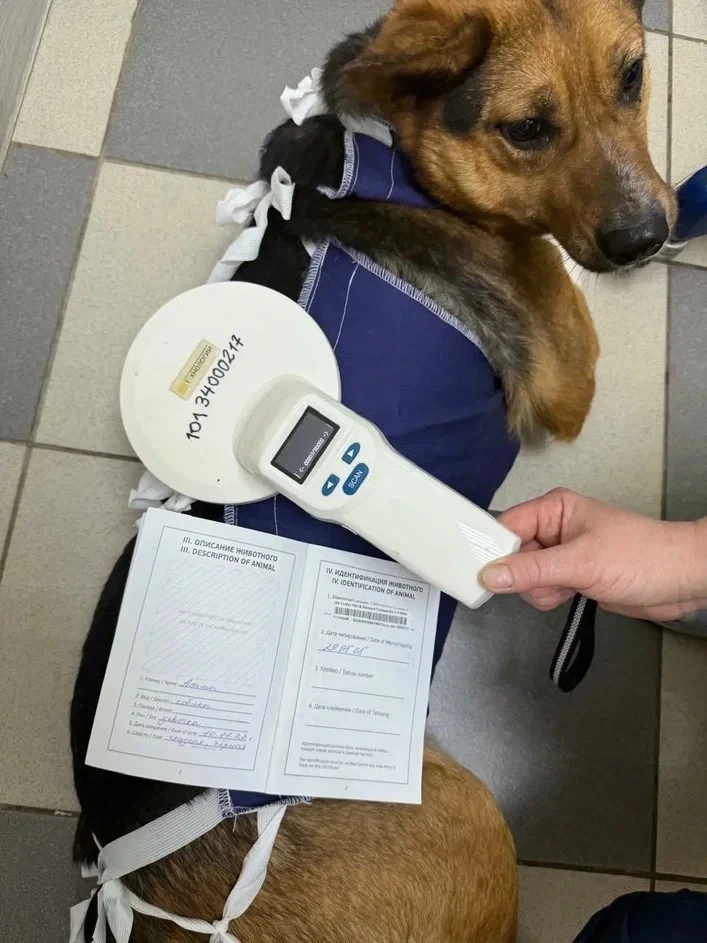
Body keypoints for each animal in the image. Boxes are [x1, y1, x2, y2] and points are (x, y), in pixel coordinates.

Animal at [70, 1, 674, 940]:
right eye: (525, 130)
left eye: (634, 77)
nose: (648, 238)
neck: (393, 162)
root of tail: (136, 889)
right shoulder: (569, 371)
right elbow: (557, 281)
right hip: (470, 821)